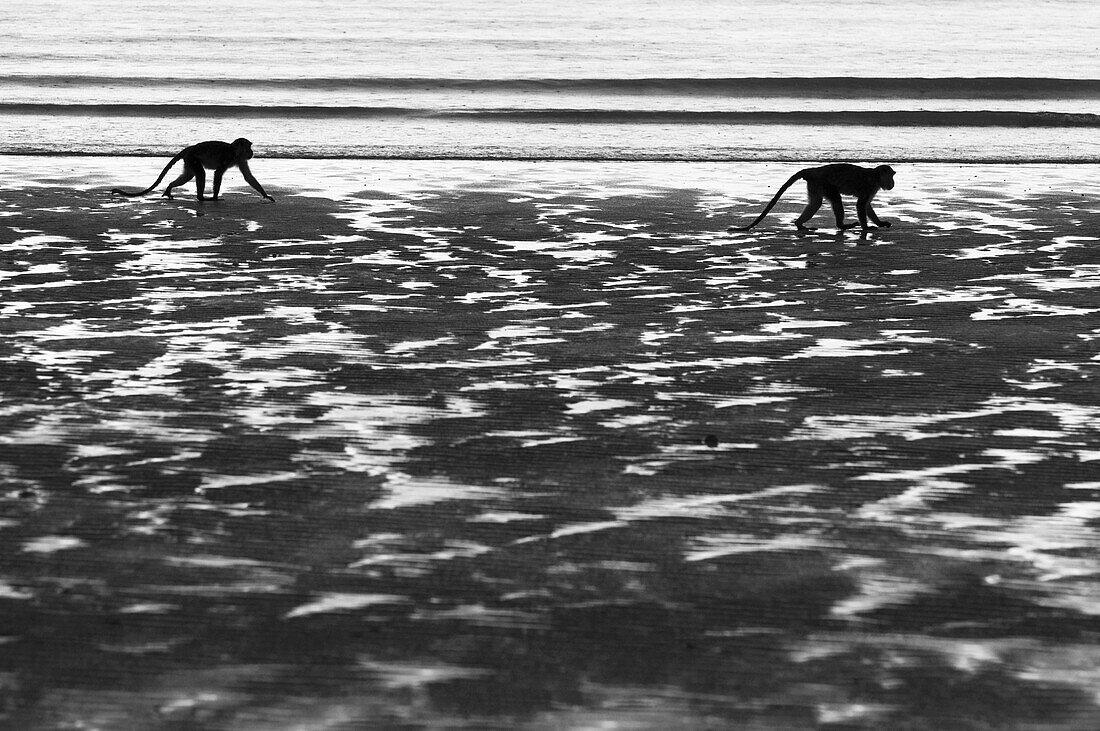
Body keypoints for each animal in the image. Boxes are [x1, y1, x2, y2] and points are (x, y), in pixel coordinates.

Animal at [111, 135, 275, 200]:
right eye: (249, 147)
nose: (252, 152)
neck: (235, 152)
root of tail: (189, 149)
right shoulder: (229, 157)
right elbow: (218, 173)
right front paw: (215, 197)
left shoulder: (240, 159)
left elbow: (248, 177)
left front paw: (265, 195)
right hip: (192, 158)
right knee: (200, 173)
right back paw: (201, 198)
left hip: (189, 161)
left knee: (189, 175)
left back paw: (170, 187)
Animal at [730, 163, 893, 235]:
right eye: (891, 176)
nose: (893, 183)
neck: (876, 176)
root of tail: (814, 170)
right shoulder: (870, 185)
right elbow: (861, 205)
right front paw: (866, 228)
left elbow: (866, 206)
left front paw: (880, 223)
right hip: (823, 182)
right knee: (835, 199)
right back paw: (841, 226)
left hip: (816, 184)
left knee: (815, 202)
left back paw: (800, 224)